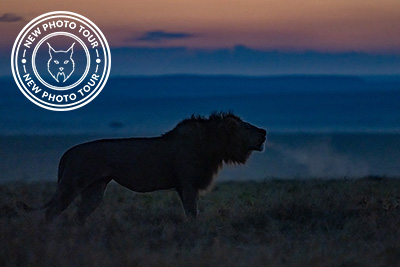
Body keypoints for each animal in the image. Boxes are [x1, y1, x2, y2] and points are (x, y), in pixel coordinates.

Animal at [20, 112, 268, 225]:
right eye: (247, 127)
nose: (265, 131)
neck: (212, 146)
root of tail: (69, 152)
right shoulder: (188, 184)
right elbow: (192, 213)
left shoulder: (185, 186)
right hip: (72, 184)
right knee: (51, 212)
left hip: (94, 190)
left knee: (79, 214)